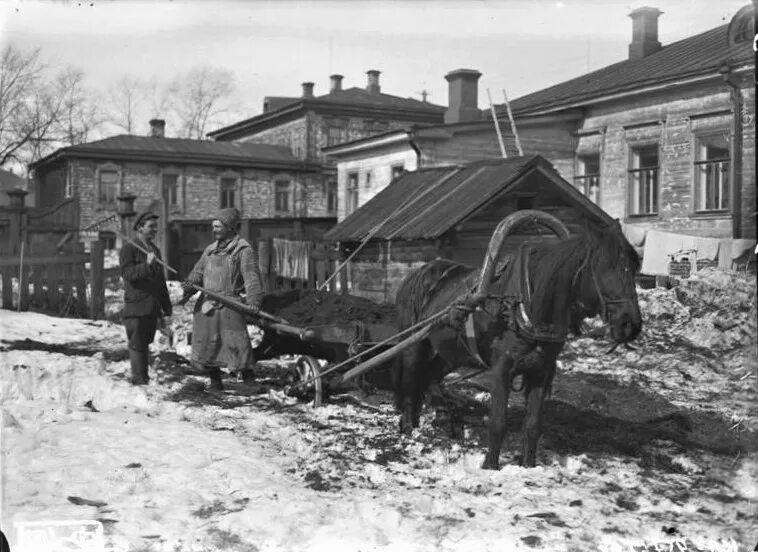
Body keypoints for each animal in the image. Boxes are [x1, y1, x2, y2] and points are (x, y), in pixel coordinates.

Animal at [392, 209, 640, 468]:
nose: (630, 325)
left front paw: (528, 465)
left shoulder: (541, 371)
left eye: (634, 267)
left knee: (430, 376)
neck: (525, 305)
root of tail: (418, 273)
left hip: (451, 352)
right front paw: (490, 466)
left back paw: (444, 420)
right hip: (414, 343)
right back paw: (408, 426)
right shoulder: (502, 368)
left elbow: (532, 425)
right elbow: (498, 423)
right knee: (411, 379)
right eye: (603, 267)